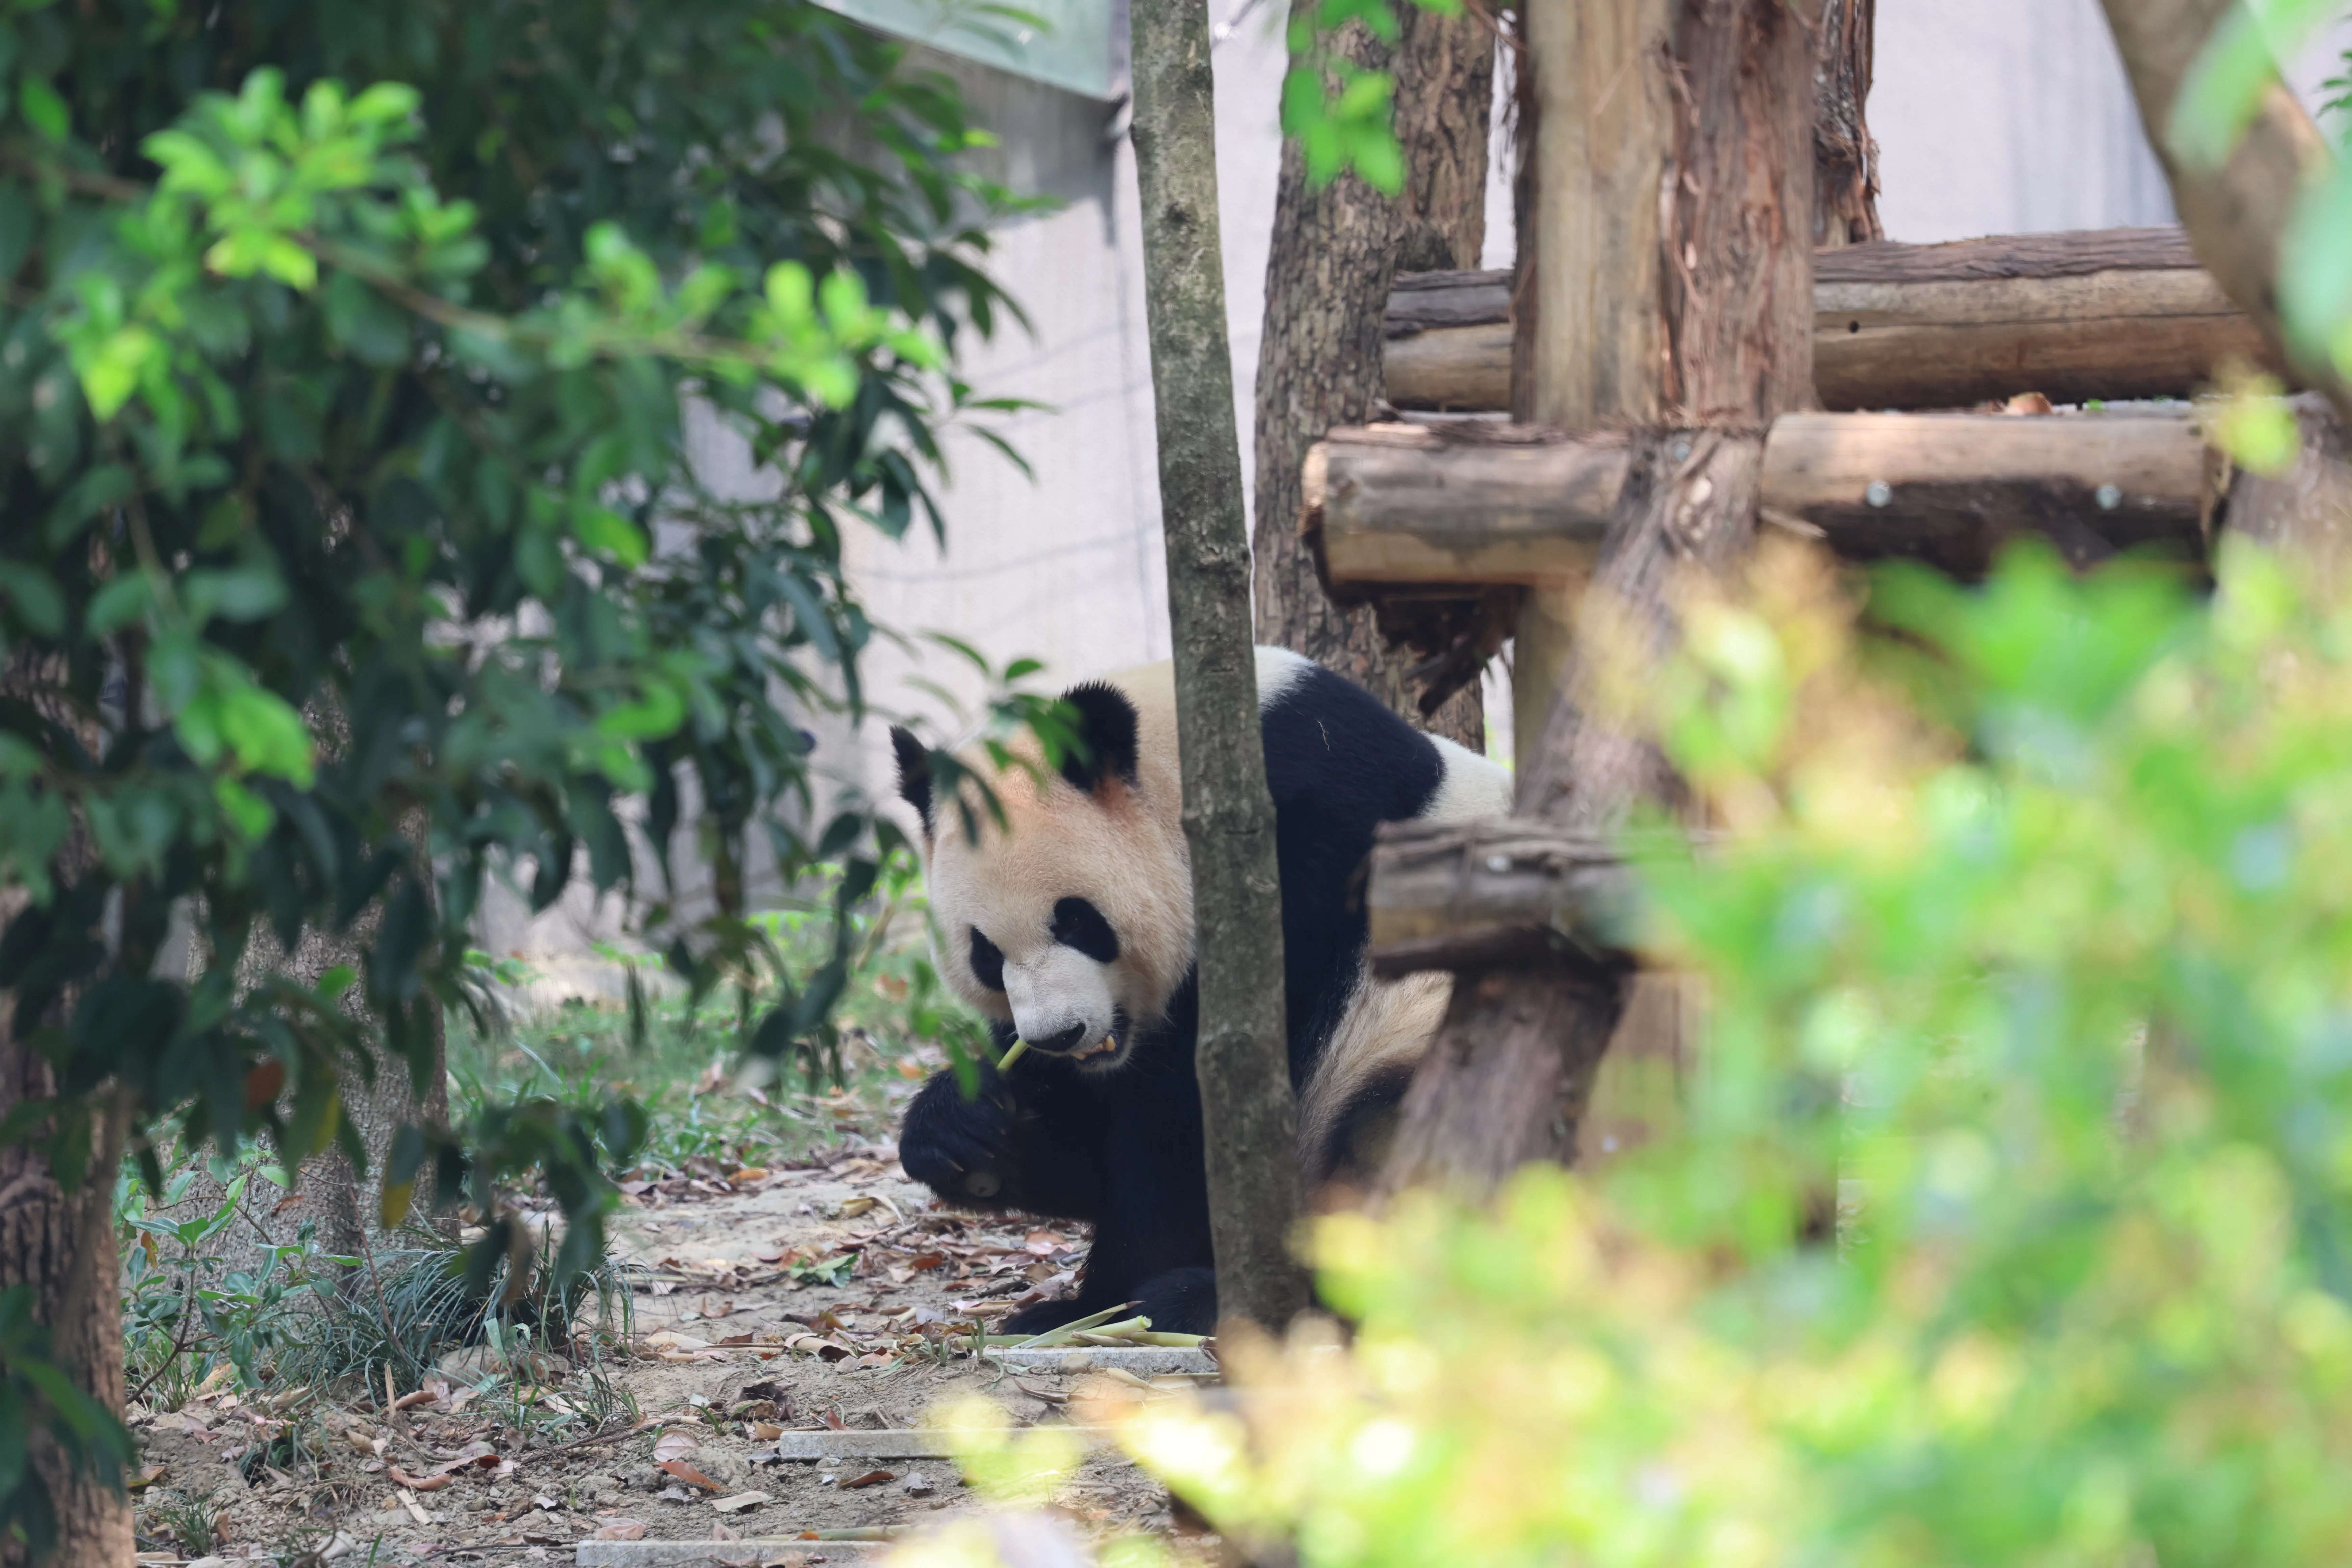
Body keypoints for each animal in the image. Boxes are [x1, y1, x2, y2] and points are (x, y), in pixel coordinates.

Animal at [889, 647, 1510, 1334]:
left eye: (1076, 921)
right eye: (986, 954)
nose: (1060, 1035)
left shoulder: (1298, 878)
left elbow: (1190, 1128)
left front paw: (1099, 1302)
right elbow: (1085, 1147)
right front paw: (963, 1131)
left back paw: (1209, 1300)